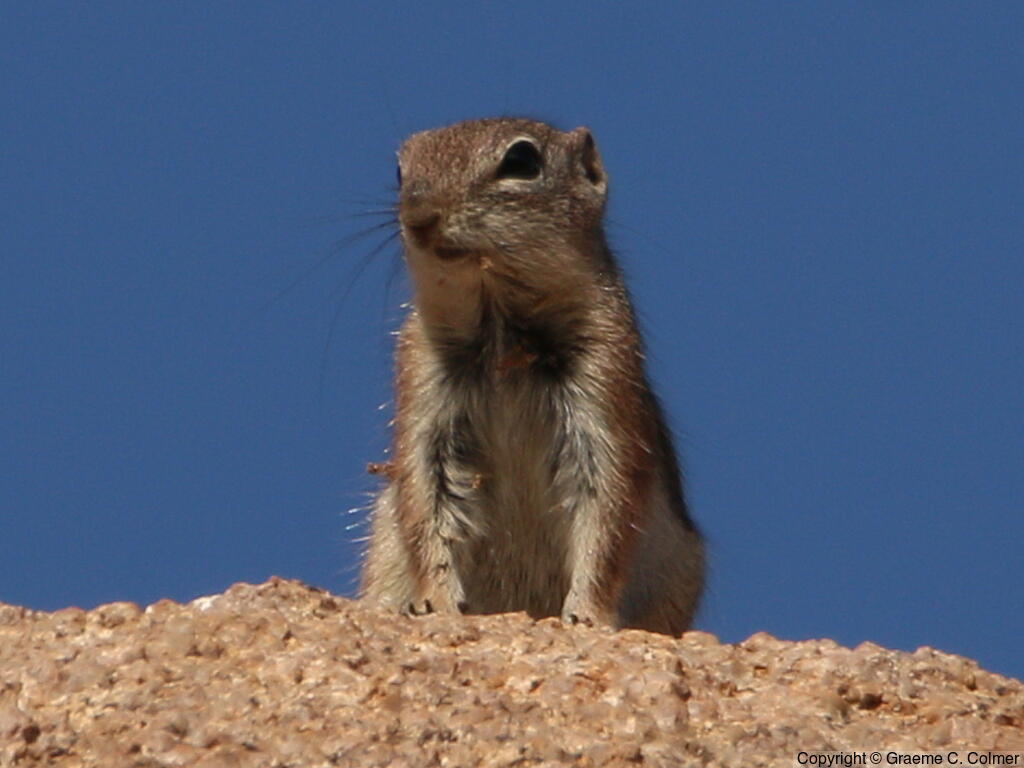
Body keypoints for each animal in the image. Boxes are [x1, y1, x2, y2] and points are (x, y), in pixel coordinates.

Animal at [359, 118, 704, 635]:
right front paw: (436, 601)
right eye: (401, 172)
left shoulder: (604, 382)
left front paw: (587, 614)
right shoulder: (422, 386)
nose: (419, 217)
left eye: (521, 161)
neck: (501, 330)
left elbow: (608, 518)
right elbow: (423, 506)